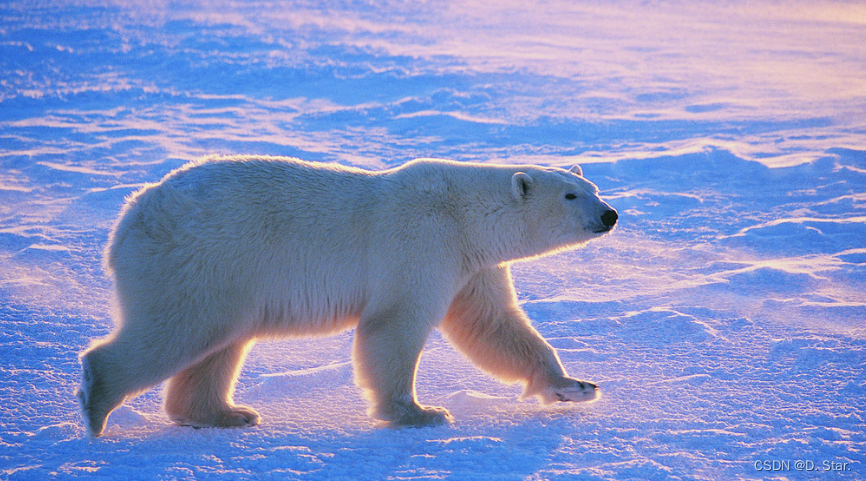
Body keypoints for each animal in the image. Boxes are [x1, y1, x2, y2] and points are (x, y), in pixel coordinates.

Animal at [76, 155, 616, 436]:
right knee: (178, 329)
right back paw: (96, 406)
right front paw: (419, 413)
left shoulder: (472, 265)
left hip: (225, 276)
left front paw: (576, 385)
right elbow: (394, 325)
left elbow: (494, 323)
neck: (464, 213)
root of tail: (129, 217)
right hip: (202, 259)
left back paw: (226, 414)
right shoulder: (422, 243)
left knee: (219, 342)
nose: (610, 214)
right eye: (571, 195)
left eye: (592, 185)